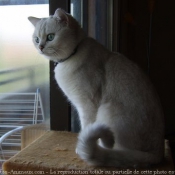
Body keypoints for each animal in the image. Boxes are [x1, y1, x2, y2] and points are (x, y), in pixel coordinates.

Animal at [28, 8, 165, 168]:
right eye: (37, 39)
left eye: (50, 37)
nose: (40, 47)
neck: (71, 56)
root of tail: (158, 153)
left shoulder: (87, 105)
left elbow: (86, 126)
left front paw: (79, 150)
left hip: (106, 109)